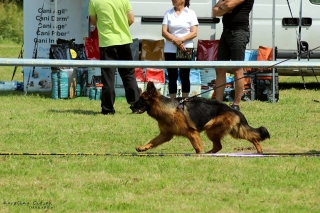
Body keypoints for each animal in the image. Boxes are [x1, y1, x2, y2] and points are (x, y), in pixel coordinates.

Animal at [132, 81, 270, 153]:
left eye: (141, 99)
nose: (131, 105)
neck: (168, 109)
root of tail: (233, 109)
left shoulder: (192, 133)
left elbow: (197, 147)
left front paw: (199, 155)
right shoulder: (165, 134)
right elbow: (152, 141)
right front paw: (143, 147)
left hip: (212, 129)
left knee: (220, 145)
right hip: (234, 131)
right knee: (251, 137)